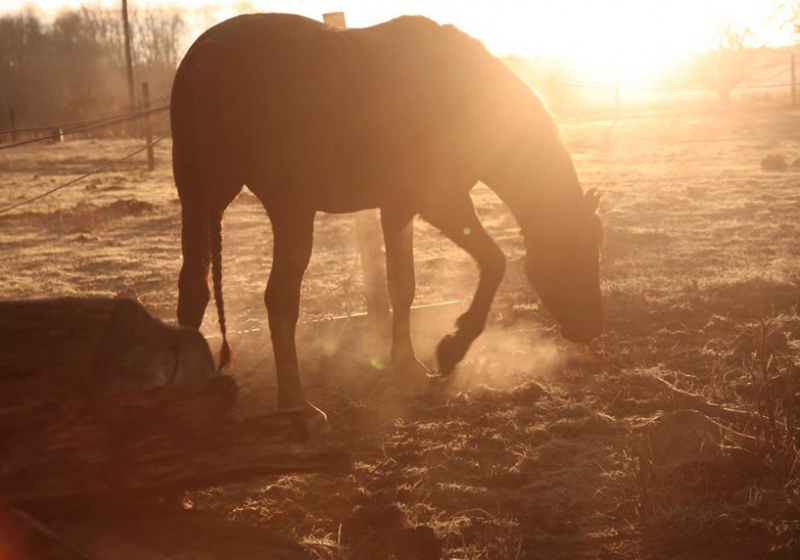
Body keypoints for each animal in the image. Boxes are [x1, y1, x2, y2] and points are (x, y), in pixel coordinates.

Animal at [172, 13, 604, 422]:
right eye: (579, 249)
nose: (590, 326)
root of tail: (210, 54)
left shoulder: (399, 207)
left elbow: (402, 285)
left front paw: (407, 365)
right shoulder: (441, 201)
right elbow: (494, 262)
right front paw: (453, 347)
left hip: (198, 200)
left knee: (194, 289)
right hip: (290, 211)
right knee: (279, 299)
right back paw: (298, 406)